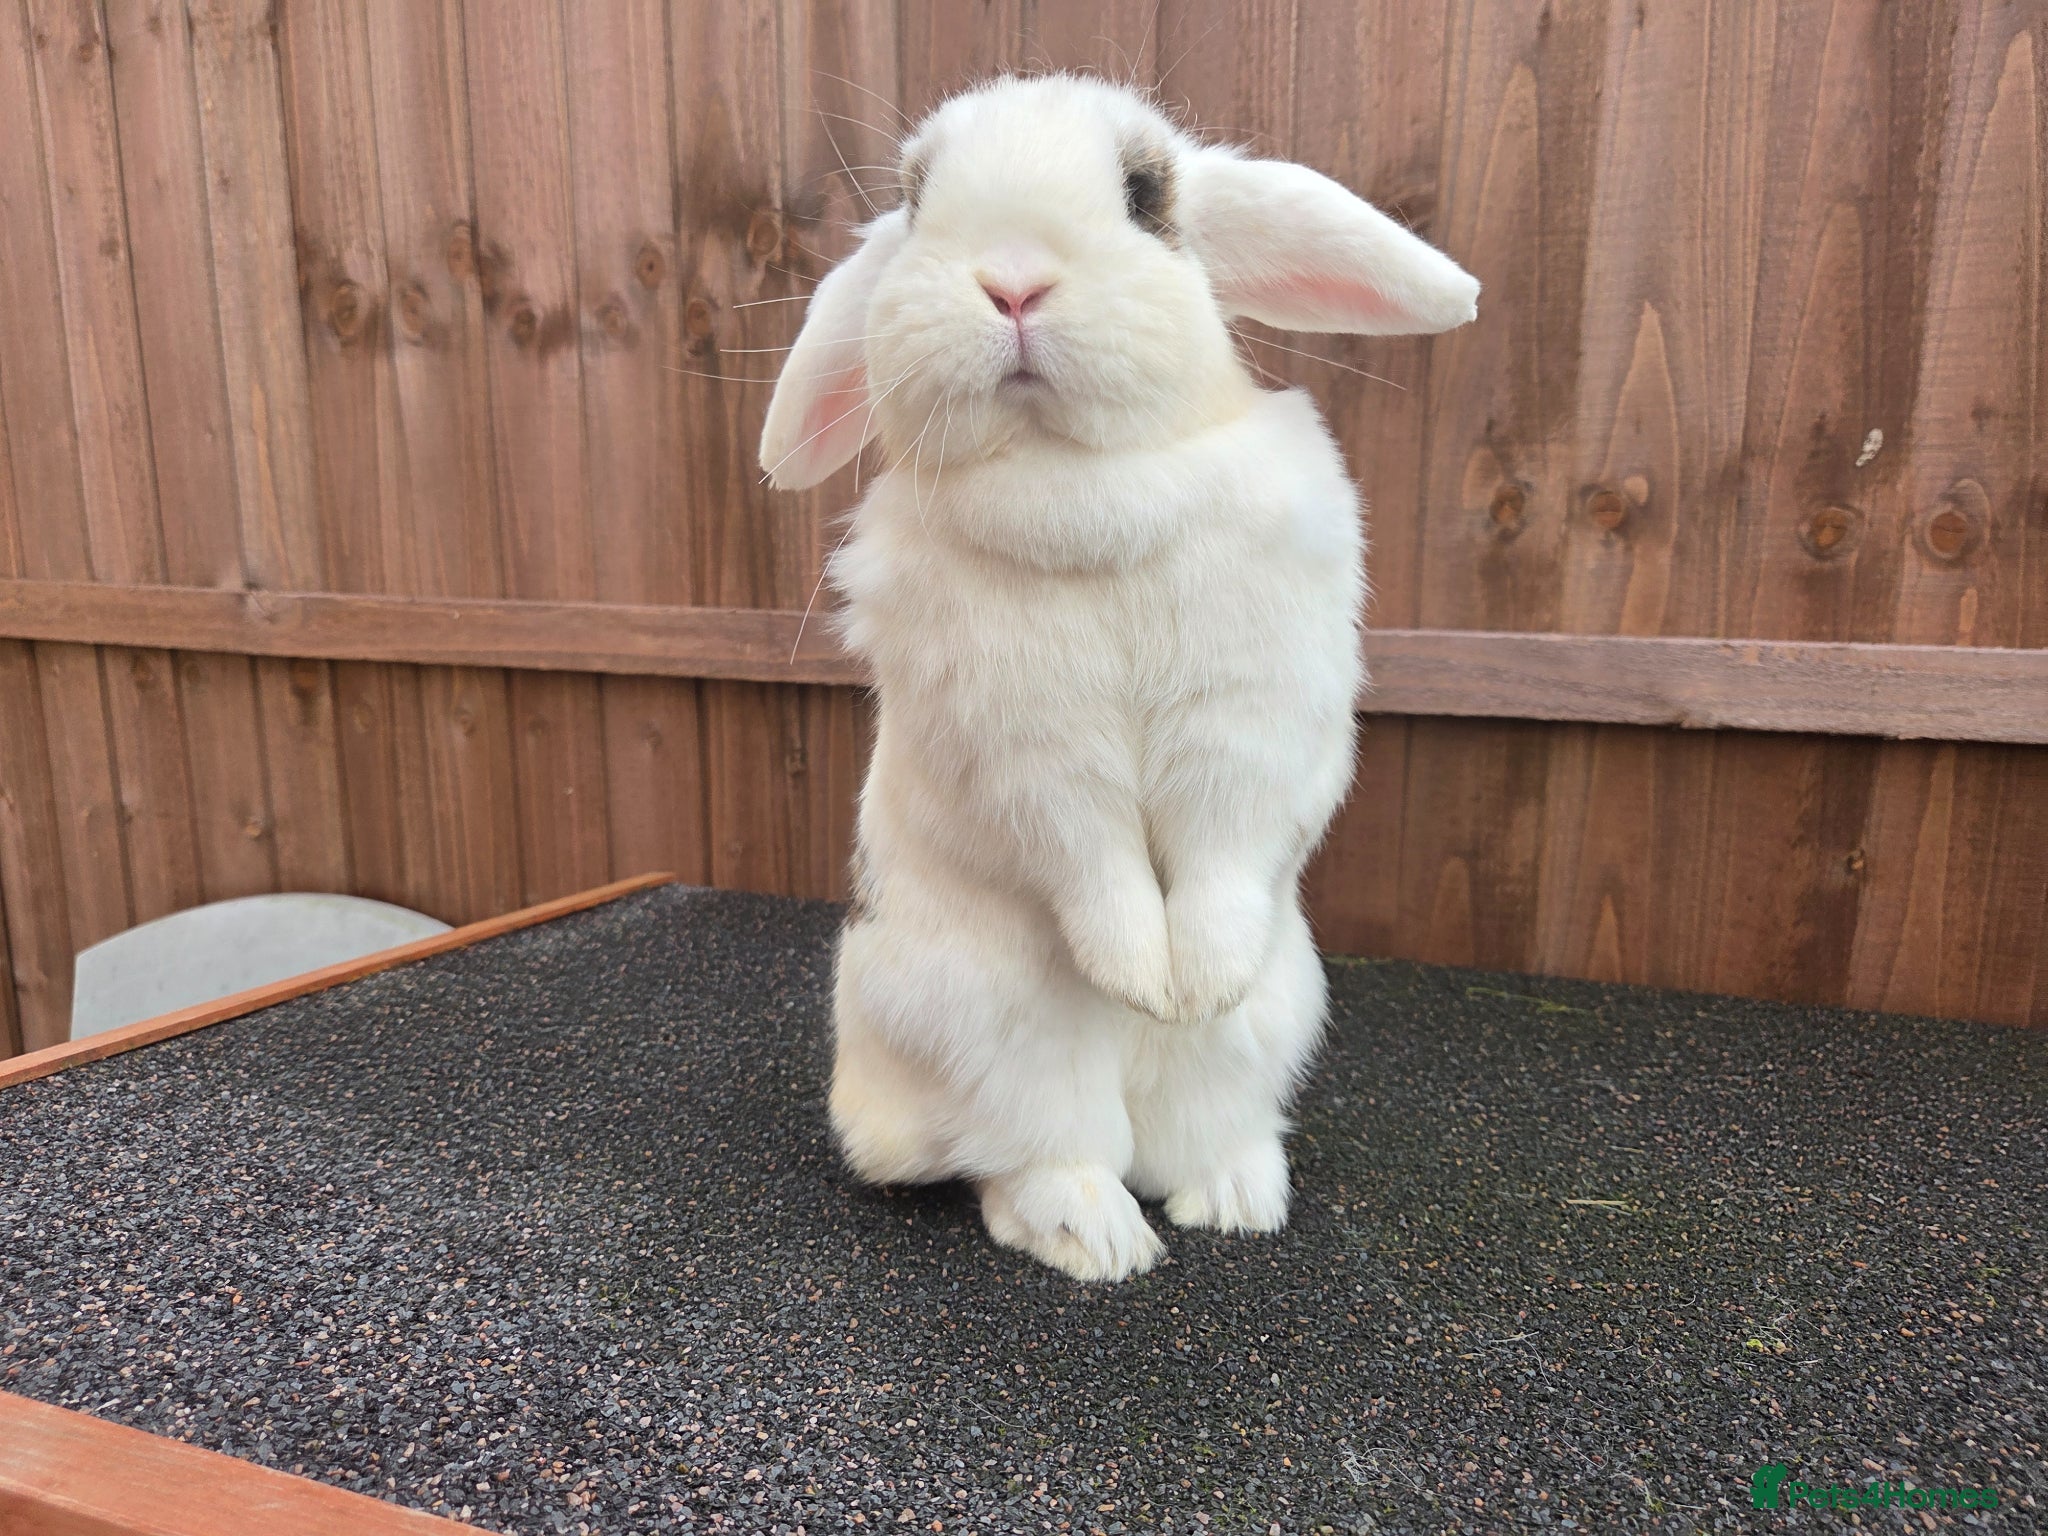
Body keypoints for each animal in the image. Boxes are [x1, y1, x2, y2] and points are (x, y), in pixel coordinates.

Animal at [759, 73, 1478, 1282]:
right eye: (914, 199)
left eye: (1145, 195)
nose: (1011, 280)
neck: (1081, 480)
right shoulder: (1029, 756)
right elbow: (1089, 860)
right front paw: (1141, 978)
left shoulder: (1247, 729)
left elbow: (1224, 854)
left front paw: (1191, 982)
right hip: (991, 1020)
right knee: (1030, 1149)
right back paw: (1095, 1233)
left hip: (1271, 1019)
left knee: (1198, 1115)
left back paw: (1233, 1195)